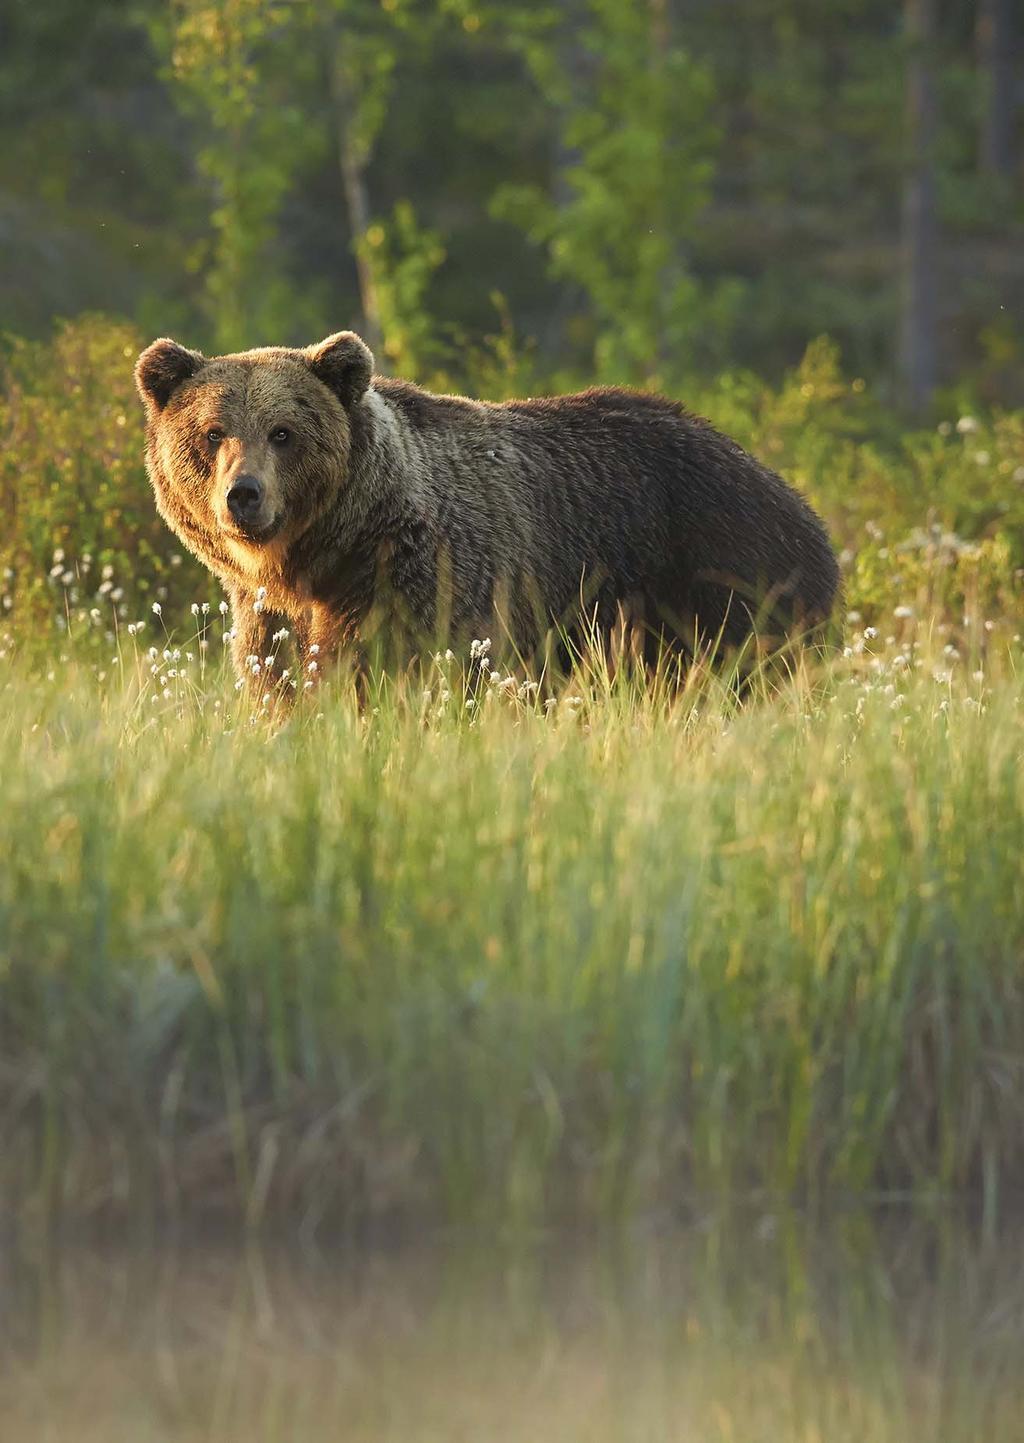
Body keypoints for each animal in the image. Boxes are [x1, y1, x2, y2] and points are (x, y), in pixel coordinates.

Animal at [134, 330, 842, 689]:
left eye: (283, 432)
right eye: (213, 432)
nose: (244, 495)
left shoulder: (425, 578)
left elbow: (400, 671)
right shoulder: (269, 616)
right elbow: (279, 681)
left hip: (721, 578)